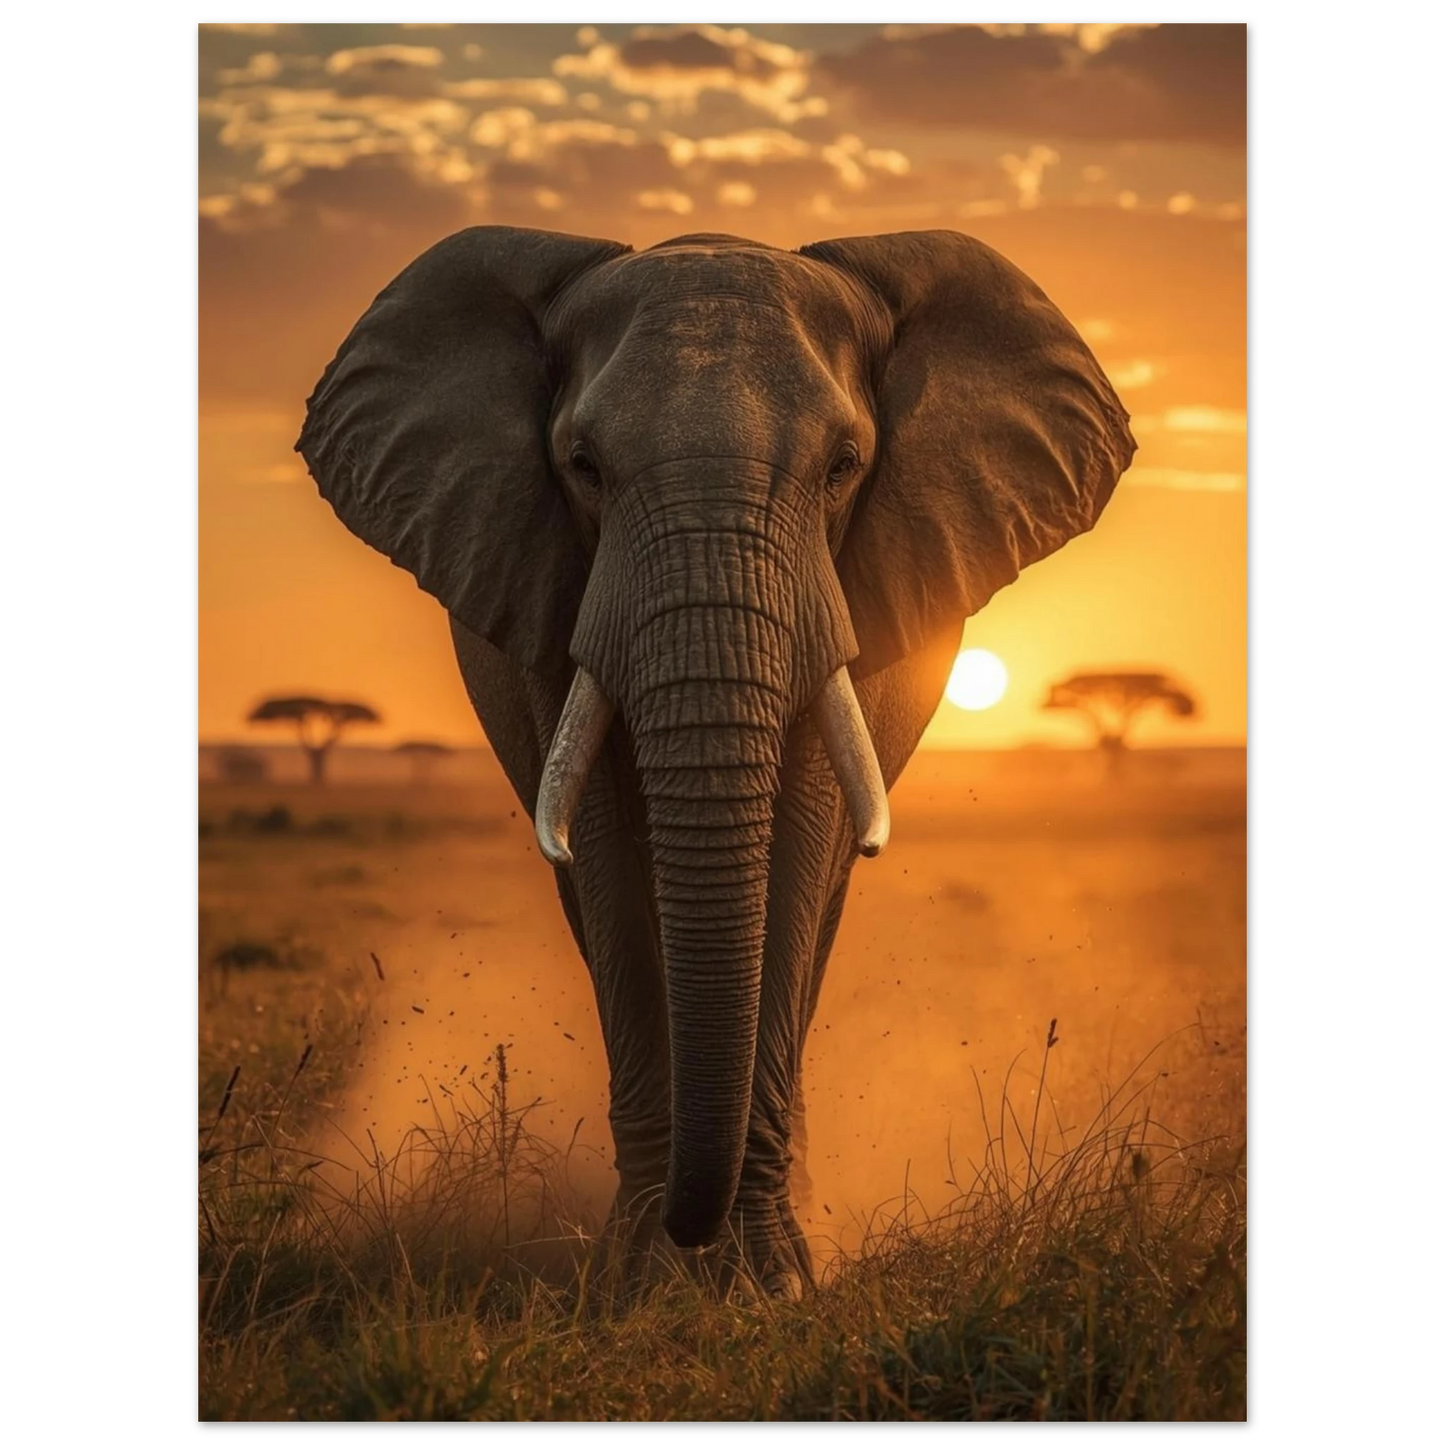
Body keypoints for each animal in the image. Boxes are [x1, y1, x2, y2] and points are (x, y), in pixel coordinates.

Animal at [295, 226, 1136, 1300]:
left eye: (844, 465)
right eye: (582, 466)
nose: (692, 1236)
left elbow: (799, 849)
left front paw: (772, 1286)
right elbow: (609, 865)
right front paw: (638, 1286)